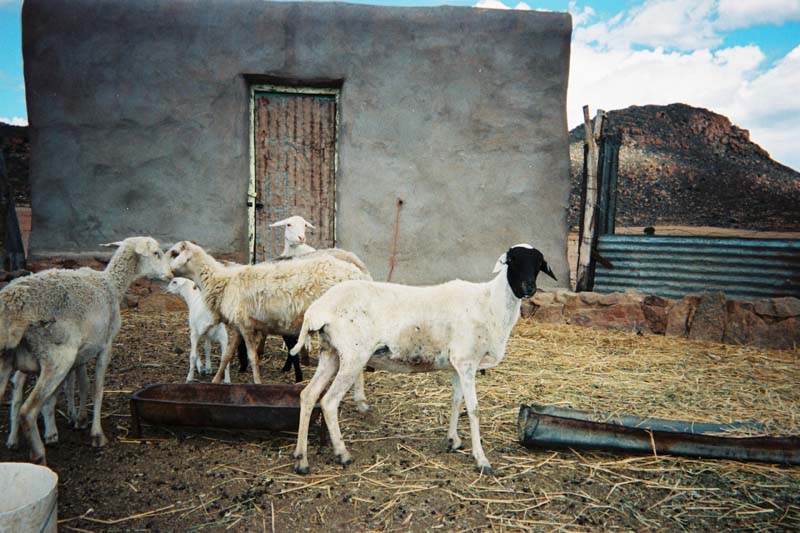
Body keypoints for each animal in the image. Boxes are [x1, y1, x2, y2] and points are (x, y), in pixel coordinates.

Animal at [0, 235, 170, 464]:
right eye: (156, 253)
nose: (170, 274)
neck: (111, 285)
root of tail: (12, 303)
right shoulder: (106, 346)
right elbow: (97, 388)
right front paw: (96, 434)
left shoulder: (83, 353)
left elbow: (81, 383)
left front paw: (79, 419)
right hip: (57, 357)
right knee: (27, 411)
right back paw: (39, 455)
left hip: (13, 359)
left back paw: (15, 440)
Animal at [166, 241, 372, 412]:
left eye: (174, 253)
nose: (166, 274)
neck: (223, 281)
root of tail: (358, 272)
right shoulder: (239, 326)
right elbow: (227, 355)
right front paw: (215, 381)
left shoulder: (245, 325)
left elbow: (252, 357)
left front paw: (257, 383)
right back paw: (360, 400)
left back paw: (358, 399)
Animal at [290, 243, 560, 472]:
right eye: (512, 260)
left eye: (539, 264)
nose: (528, 288)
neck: (490, 305)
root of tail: (318, 309)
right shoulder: (467, 362)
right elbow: (473, 409)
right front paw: (481, 459)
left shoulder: (457, 365)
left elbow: (456, 401)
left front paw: (453, 440)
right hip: (353, 356)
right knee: (328, 402)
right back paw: (342, 453)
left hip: (331, 353)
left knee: (308, 395)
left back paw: (301, 459)